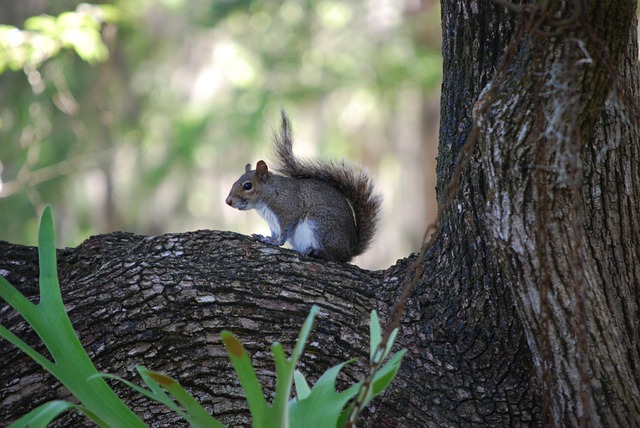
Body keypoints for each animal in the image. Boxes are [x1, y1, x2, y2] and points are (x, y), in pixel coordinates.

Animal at [226, 110, 380, 262]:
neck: (269, 194)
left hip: (321, 223)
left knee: (335, 256)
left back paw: (317, 252)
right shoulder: (272, 223)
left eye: (247, 186)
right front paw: (267, 238)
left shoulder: (288, 210)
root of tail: (350, 250)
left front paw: (276, 242)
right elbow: (275, 233)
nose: (228, 201)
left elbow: (285, 231)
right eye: (234, 183)